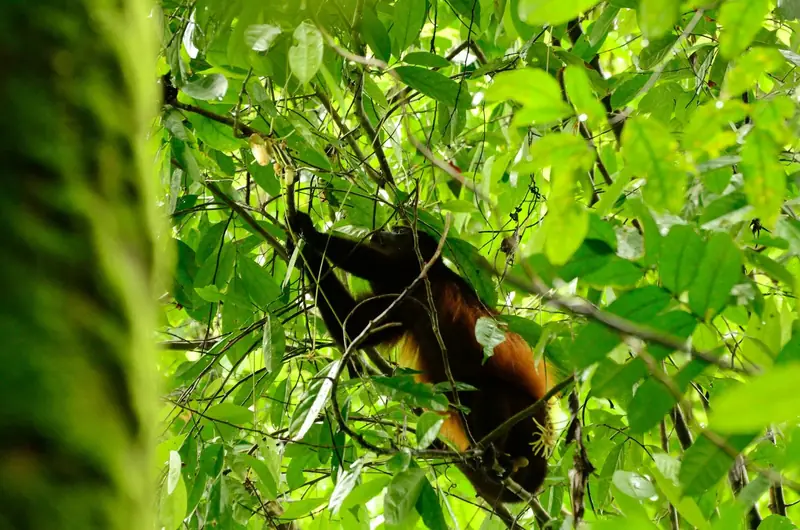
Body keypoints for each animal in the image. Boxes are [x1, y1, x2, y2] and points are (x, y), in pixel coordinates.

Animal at [286, 211, 552, 503]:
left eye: (401, 232)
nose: (383, 231)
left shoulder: (415, 274)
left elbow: (376, 264)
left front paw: (310, 233)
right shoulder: (401, 302)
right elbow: (352, 325)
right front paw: (300, 252)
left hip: (526, 411)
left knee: (491, 392)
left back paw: (491, 452)